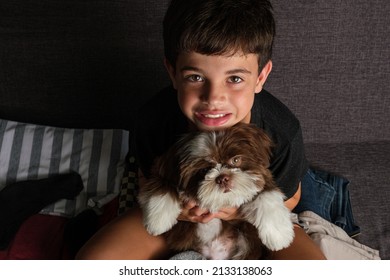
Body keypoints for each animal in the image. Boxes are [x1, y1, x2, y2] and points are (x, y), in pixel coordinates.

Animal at [137, 123, 292, 260]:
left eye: (236, 160)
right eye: (204, 170)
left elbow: (267, 195)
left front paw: (279, 235)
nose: (222, 178)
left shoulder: (262, 178)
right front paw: (158, 221)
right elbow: (162, 184)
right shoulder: (161, 172)